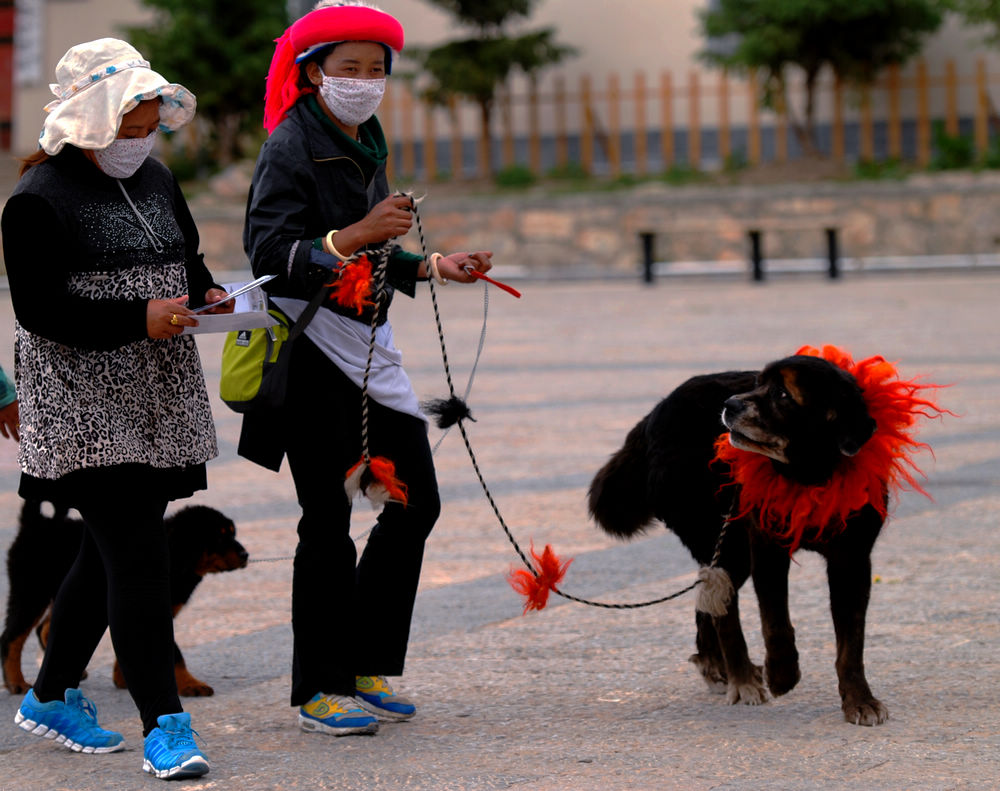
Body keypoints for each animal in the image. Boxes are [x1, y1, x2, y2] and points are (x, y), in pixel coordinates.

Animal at [1, 504, 248, 696]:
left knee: (46, 627)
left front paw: (124, 679)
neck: (176, 558)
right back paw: (16, 682)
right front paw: (190, 685)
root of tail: (35, 524)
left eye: (233, 533)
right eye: (220, 537)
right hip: (31, 592)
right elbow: (174, 653)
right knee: (12, 638)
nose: (246, 555)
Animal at [584, 350, 936, 728]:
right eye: (758, 383)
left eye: (782, 394)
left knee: (706, 601)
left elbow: (851, 644)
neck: (810, 475)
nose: (729, 404)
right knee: (723, 612)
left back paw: (717, 667)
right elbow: (775, 623)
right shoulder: (767, 547)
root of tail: (654, 414)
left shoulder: (852, 560)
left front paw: (859, 699)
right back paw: (741, 679)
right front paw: (782, 675)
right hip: (725, 543)